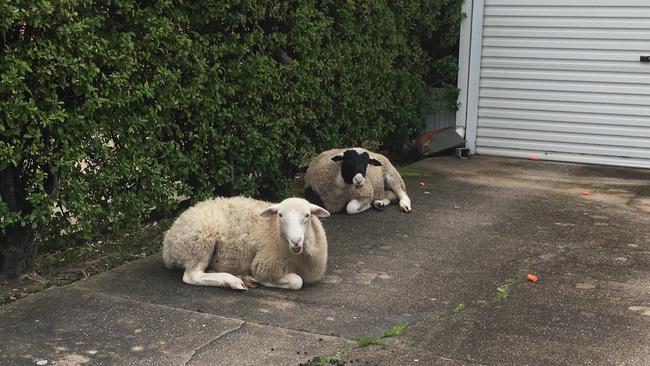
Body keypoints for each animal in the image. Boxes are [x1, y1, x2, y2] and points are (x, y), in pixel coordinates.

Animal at [162, 197, 330, 292]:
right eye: (280, 215)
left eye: (307, 215)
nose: (296, 241)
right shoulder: (264, 265)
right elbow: (296, 281)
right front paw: (262, 281)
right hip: (201, 239)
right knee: (193, 276)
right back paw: (233, 281)